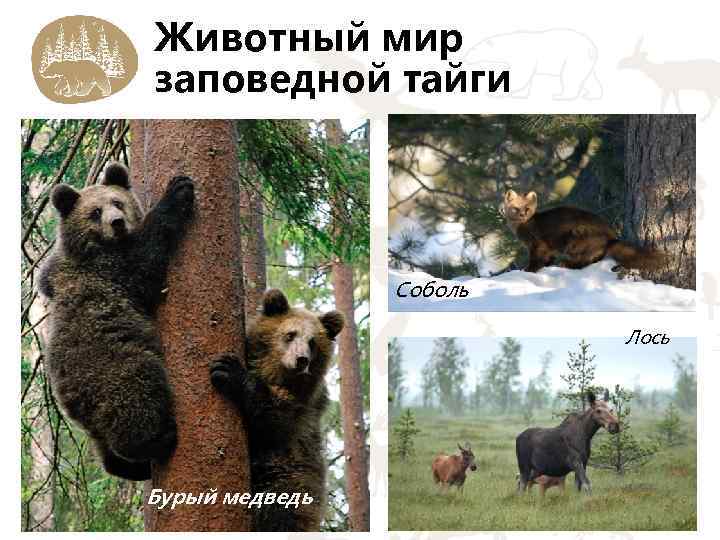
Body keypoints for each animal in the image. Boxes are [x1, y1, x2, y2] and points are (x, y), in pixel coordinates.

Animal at [38, 162, 194, 481]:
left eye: (117, 202)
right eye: (95, 212)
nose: (118, 223)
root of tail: (76, 407)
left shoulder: (52, 274)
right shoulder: (112, 272)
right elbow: (146, 261)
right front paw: (176, 193)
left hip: (95, 422)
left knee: (107, 453)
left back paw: (130, 467)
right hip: (113, 369)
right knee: (139, 392)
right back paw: (158, 440)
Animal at [209, 289, 344, 532]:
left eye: (313, 342)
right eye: (290, 334)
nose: (301, 360)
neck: (275, 375)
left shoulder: (302, 406)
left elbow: (274, 421)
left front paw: (228, 370)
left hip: (291, 475)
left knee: (278, 509)